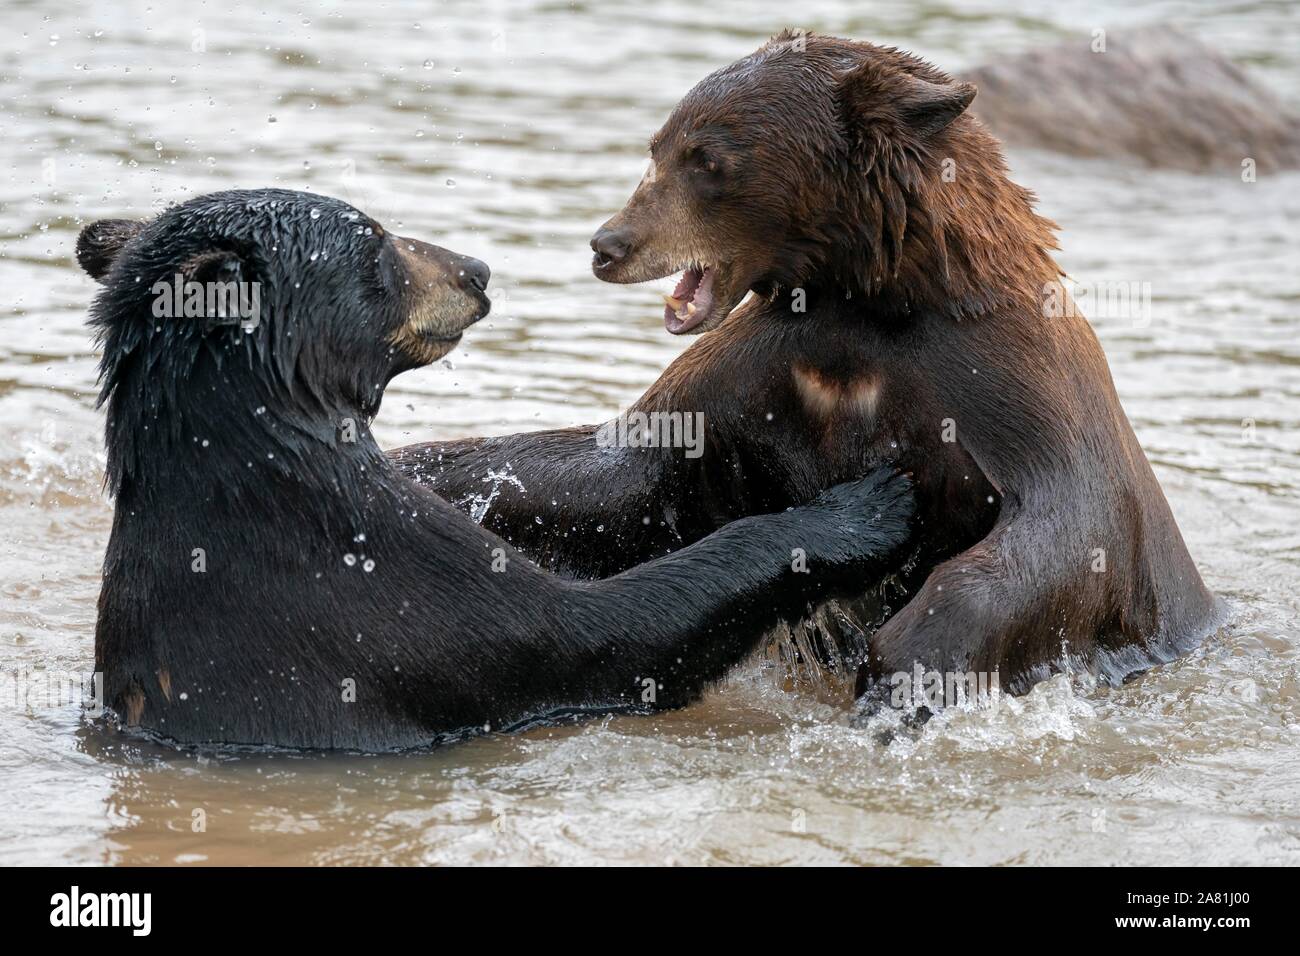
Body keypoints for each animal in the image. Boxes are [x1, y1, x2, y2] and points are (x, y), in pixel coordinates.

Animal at [392, 31, 1216, 712]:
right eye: (658, 146)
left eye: (709, 160)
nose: (608, 243)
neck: (865, 301)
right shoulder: (759, 373)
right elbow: (615, 470)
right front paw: (427, 472)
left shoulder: (999, 386)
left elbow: (1062, 531)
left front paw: (902, 665)